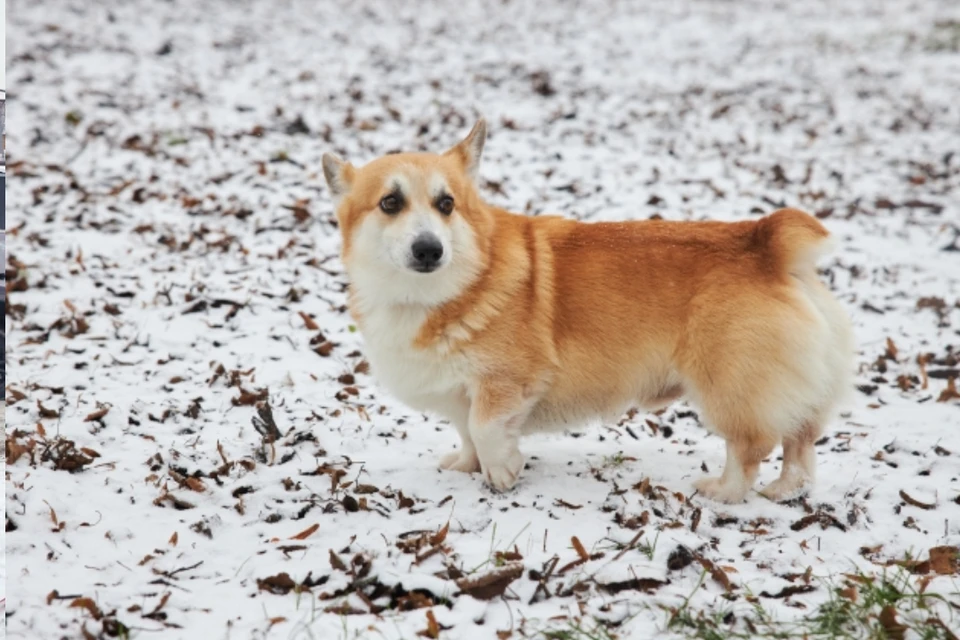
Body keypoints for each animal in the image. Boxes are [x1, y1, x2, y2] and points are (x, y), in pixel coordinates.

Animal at [324, 119, 856, 500]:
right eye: (390, 203)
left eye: (446, 204)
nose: (430, 249)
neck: (448, 287)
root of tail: (766, 244)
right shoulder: (461, 391)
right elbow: (466, 431)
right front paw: (465, 466)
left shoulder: (506, 382)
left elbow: (485, 428)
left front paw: (503, 473)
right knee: (801, 441)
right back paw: (786, 491)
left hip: (729, 387)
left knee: (751, 446)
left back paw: (722, 492)